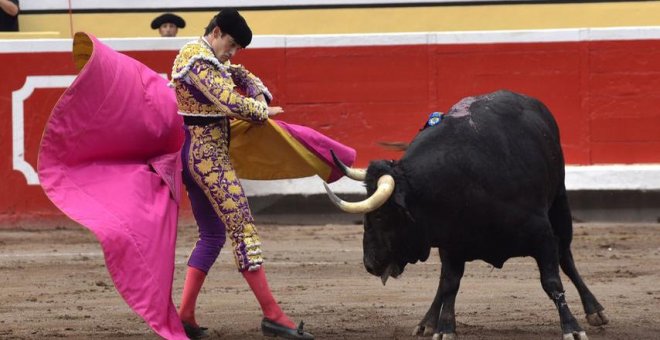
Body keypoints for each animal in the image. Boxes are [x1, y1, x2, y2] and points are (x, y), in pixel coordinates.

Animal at [324, 90, 608, 340]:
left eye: (381, 217)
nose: (369, 264)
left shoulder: (542, 235)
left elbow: (552, 280)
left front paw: (572, 328)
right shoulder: (451, 241)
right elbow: (450, 283)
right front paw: (444, 328)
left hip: (559, 203)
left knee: (566, 257)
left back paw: (594, 310)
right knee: (443, 282)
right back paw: (427, 322)